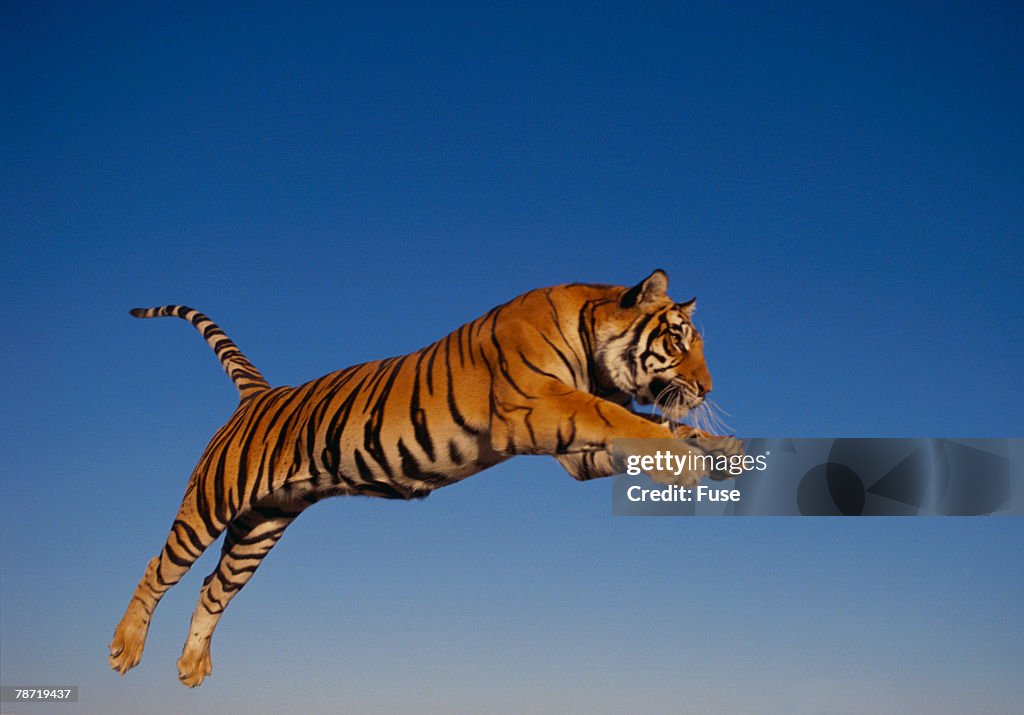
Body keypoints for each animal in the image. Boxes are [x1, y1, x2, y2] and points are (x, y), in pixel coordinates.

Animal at [110, 268, 745, 684]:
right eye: (677, 340)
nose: (707, 388)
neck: (593, 352)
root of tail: (258, 394)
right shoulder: (538, 406)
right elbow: (625, 418)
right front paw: (687, 455)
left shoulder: (573, 452)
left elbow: (647, 424)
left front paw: (723, 449)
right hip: (211, 501)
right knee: (159, 567)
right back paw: (125, 648)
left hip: (262, 525)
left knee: (213, 587)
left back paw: (191, 667)